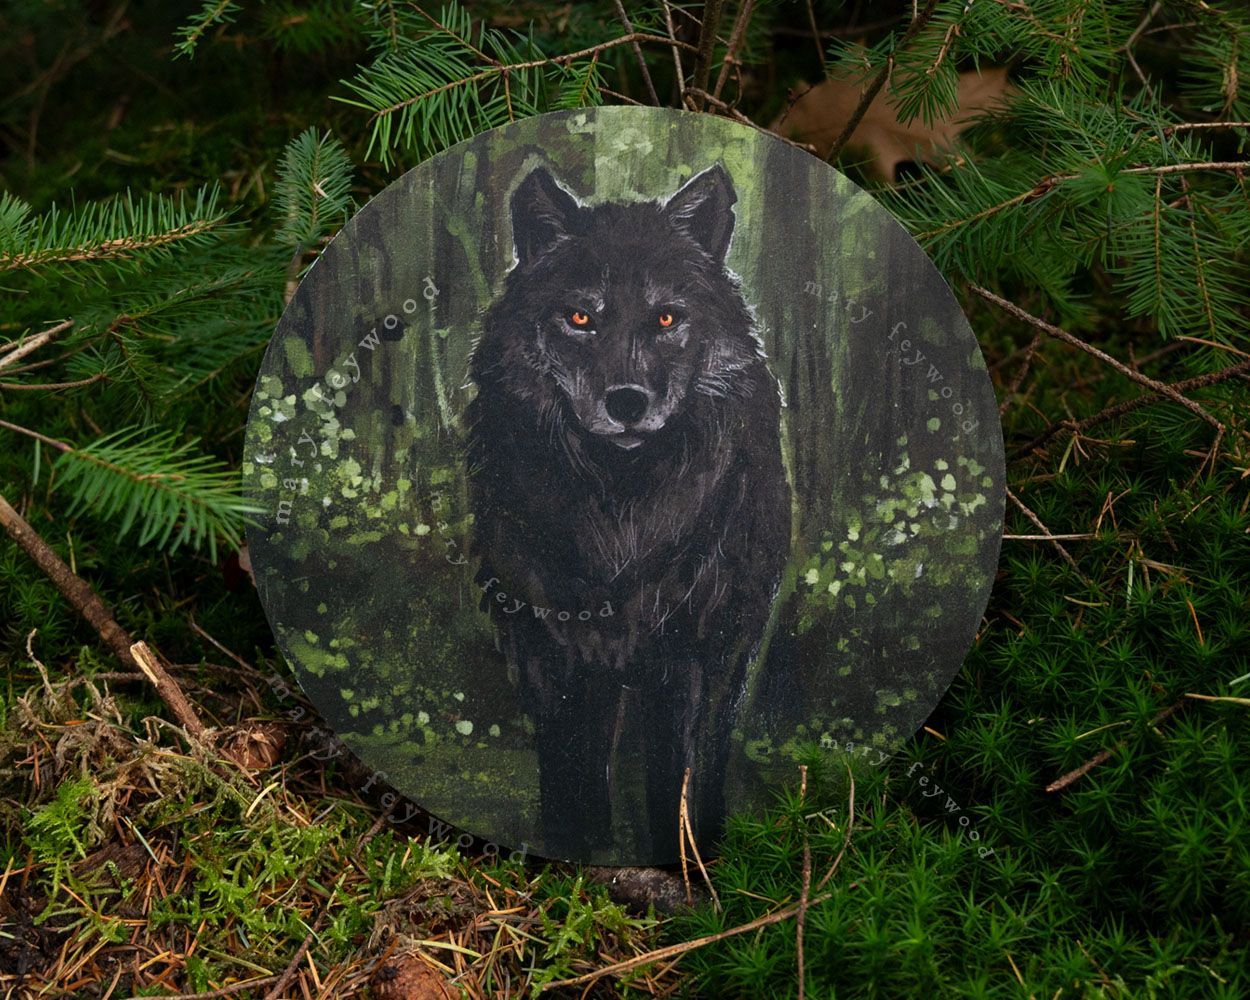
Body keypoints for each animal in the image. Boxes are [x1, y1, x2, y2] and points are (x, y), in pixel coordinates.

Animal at [465, 162, 791, 861]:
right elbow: (571, 766)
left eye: (666, 318)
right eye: (580, 317)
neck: (624, 513)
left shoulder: (703, 649)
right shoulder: (549, 643)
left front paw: (685, 857)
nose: (627, 402)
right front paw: (577, 845)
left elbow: (683, 774)